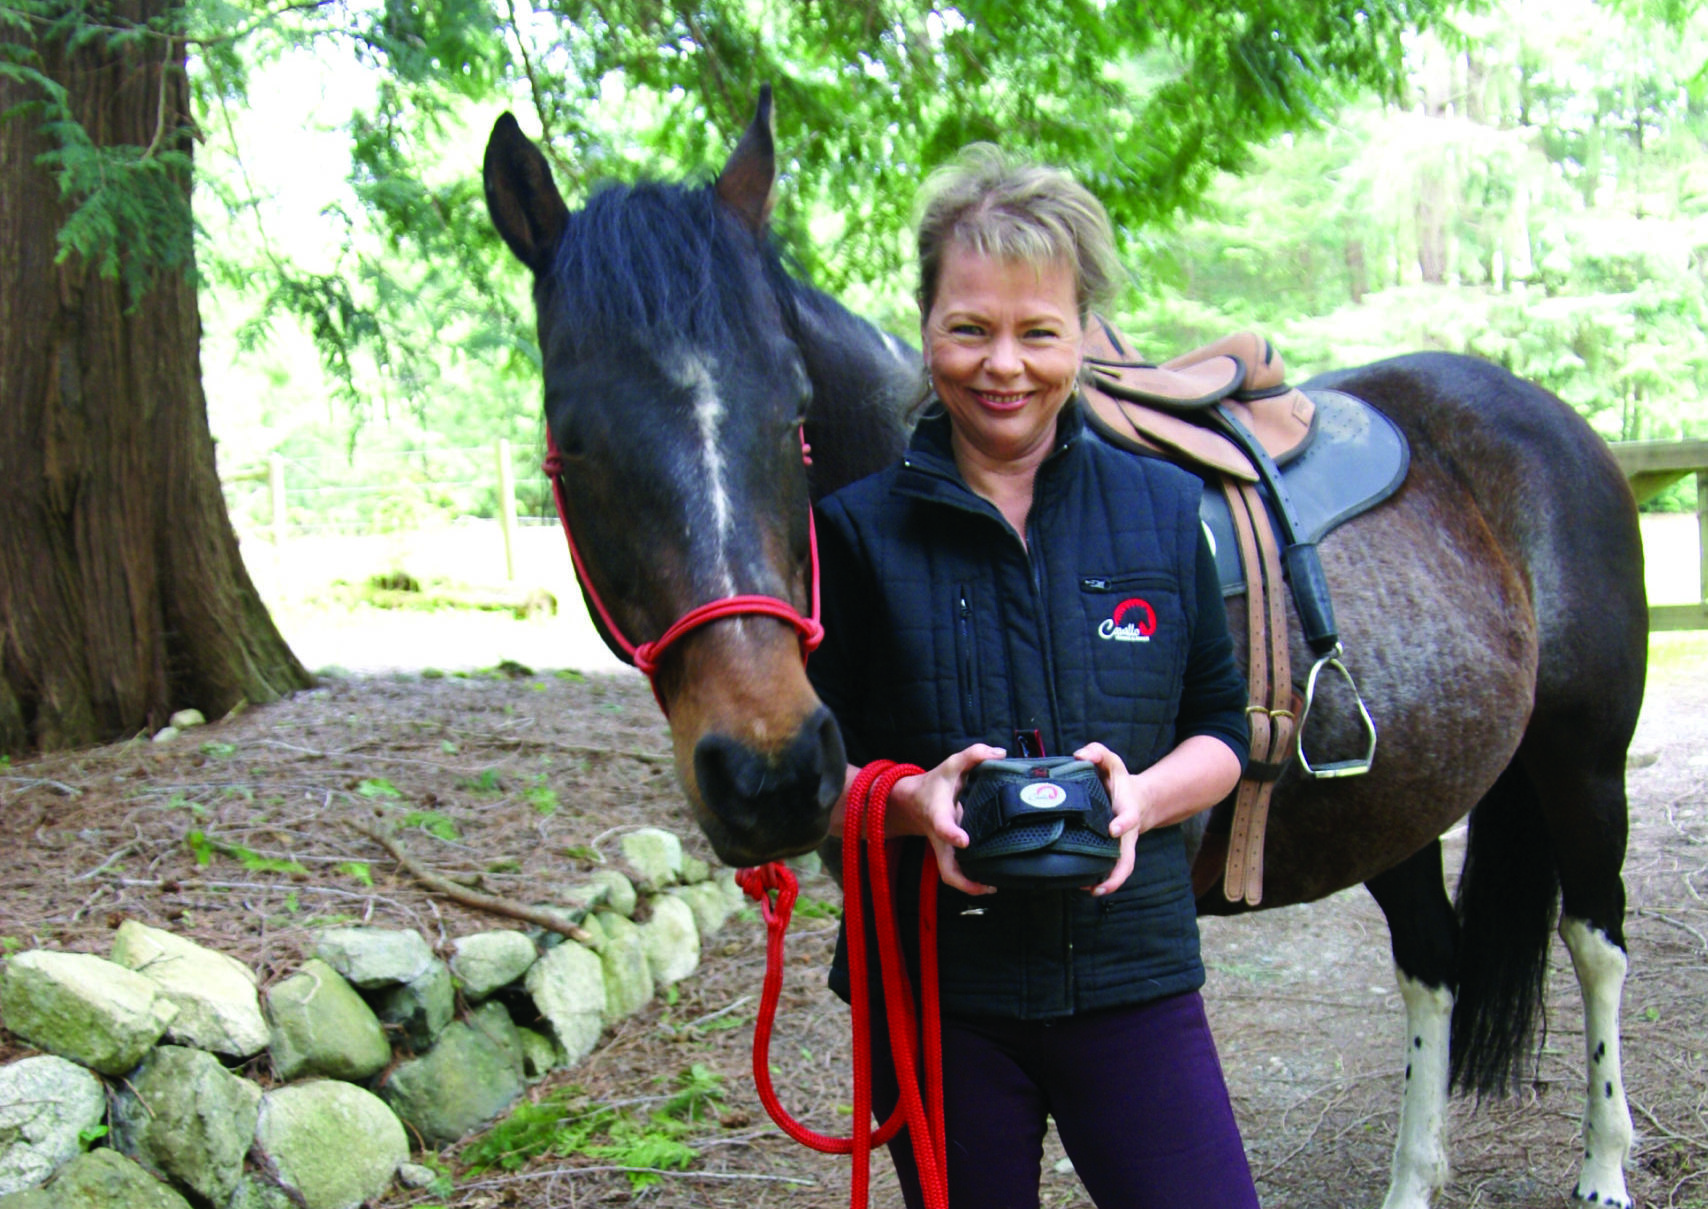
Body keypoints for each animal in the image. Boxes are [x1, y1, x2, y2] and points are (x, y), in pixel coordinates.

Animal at [478, 87, 1639, 1209]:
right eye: (569, 435)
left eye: (792, 413)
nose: (770, 771)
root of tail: (1546, 418)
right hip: (1398, 803)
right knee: (1432, 964)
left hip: (1581, 768)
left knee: (1595, 943)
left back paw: (1604, 1168)